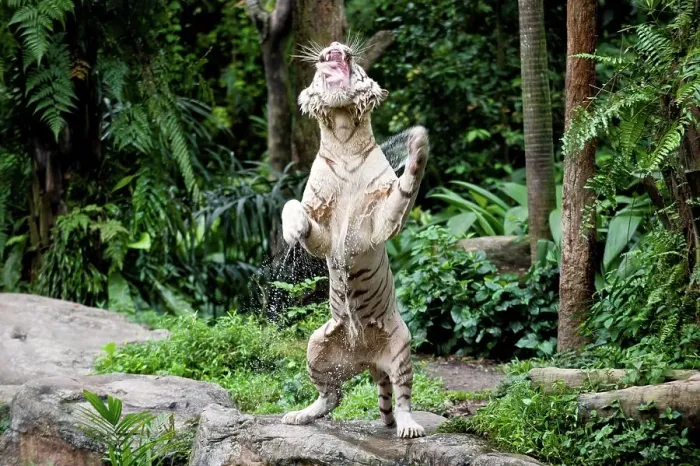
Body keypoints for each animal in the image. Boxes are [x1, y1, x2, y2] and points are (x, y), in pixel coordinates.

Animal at [280, 41, 428, 439]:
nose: (334, 46)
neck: (344, 134)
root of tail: (367, 361)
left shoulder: (379, 222)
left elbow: (405, 187)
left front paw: (417, 141)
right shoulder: (324, 233)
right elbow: (292, 206)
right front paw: (290, 231)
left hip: (402, 347)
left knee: (403, 399)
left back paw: (409, 427)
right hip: (317, 346)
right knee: (332, 397)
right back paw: (299, 415)